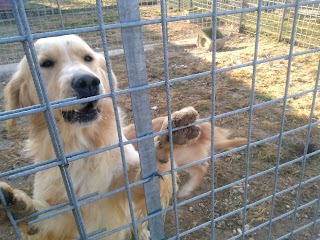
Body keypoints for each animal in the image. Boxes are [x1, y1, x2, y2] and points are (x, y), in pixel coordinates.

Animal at [0, 34, 205, 239]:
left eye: (87, 58)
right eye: (46, 63)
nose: (87, 82)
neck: (84, 145)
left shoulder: (123, 191)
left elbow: (148, 175)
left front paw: (167, 140)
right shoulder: (65, 218)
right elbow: (45, 220)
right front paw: (21, 210)